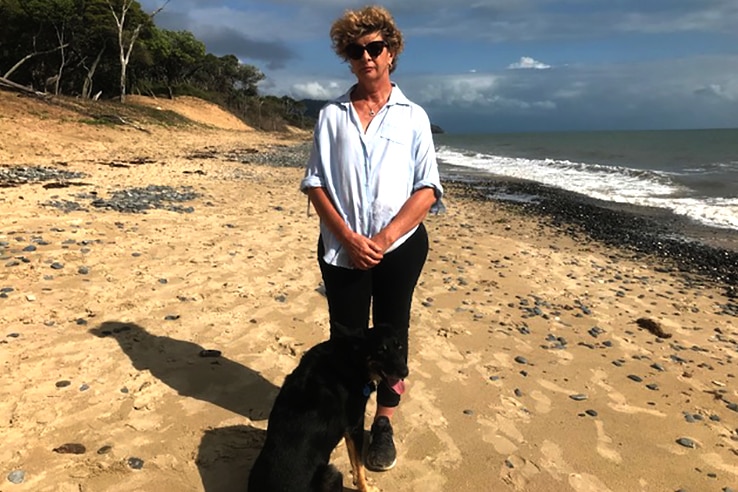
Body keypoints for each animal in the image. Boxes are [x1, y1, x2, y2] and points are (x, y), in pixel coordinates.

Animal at [247, 322, 408, 492]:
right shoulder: (355, 426)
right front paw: (366, 488)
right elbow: (359, 465)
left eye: (400, 346)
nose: (405, 372)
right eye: (380, 350)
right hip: (332, 473)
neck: (352, 358)